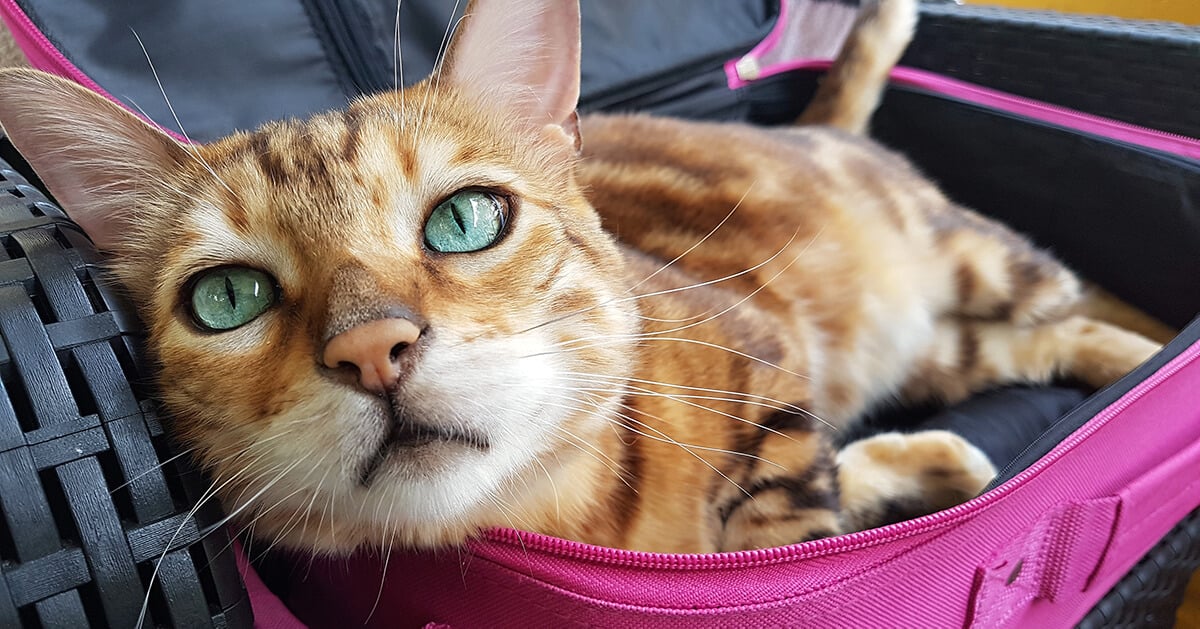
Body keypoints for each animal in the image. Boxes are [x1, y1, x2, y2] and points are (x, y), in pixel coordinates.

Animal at [0, 0, 1156, 549]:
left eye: (467, 218)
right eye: (226, 298)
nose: (372, 348)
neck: (580, 515)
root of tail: (820, 128)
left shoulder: (767, 365)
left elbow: (783, 511)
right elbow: (804, 491)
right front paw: (911, 466)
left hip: (978, 257)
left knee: (1080, 304)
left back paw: (1149, 352)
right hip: (948, 348)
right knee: (1027, 347)